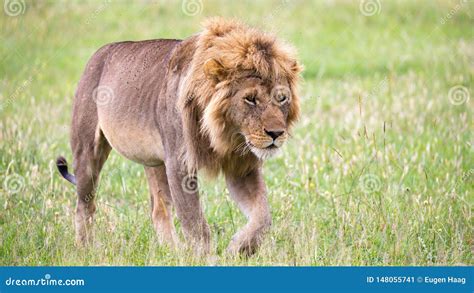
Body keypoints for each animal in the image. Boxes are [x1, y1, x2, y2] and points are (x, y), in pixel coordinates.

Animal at [55, 18, 300, 254]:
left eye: (281, 98)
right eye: (250, 99)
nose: (276, 133)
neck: (225, 134)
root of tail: (100, 53)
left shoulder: (241, 166)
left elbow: (263, 217)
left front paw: (240, 248)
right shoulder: (179, 164)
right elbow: (195, 223)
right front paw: (205, 258)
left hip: (155, 162)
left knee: (159, 209)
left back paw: (172, 251)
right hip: (88, 150)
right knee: (84, 205)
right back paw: (85, 248)